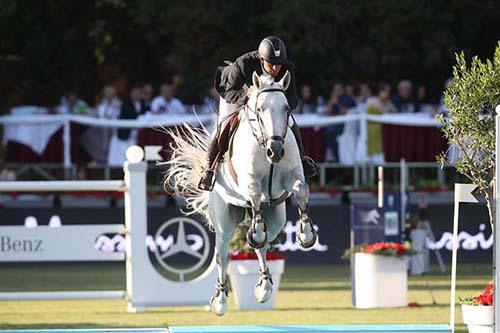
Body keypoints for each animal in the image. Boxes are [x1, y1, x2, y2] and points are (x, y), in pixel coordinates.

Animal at [164, 70, 316, 314]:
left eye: (287, 109)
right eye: (259, 109)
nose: (276, 151)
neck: (264, 143)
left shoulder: (293, 177)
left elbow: (301, 190)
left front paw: (306, 235)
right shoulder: (249, 182)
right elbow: (254, 192)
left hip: (276, 219)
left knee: (263, 245)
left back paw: (264, 287)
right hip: (224, 221)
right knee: (223, 255)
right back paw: (220, 300)